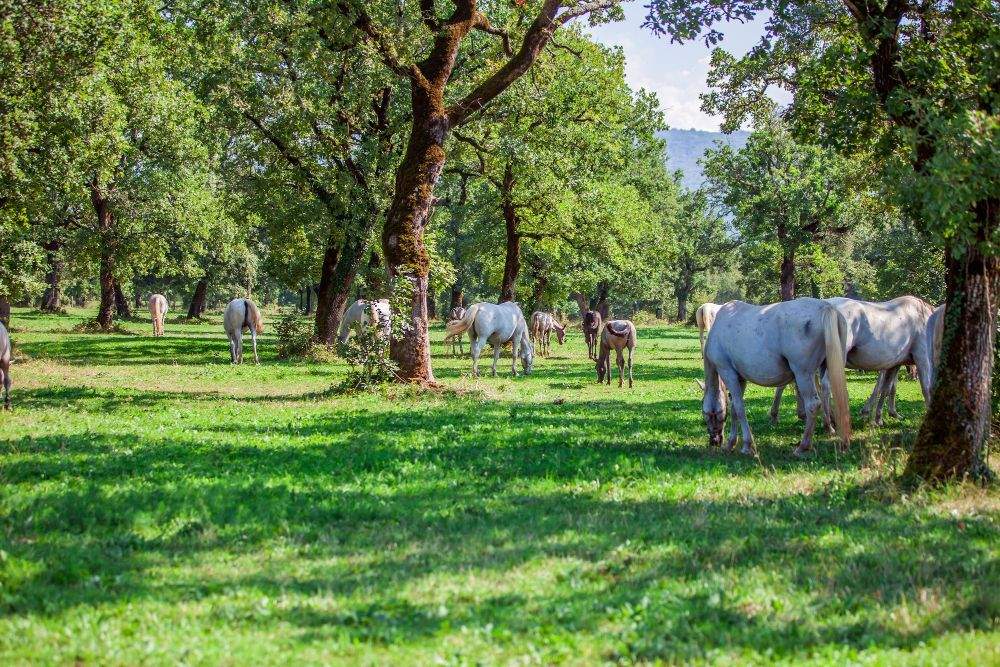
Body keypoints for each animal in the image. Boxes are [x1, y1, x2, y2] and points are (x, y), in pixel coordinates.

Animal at [700, 298, 851, 456]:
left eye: (707, 415)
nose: (714, 441)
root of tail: (826, 308)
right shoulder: (740, 379)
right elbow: (735, 408)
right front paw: (731, 444)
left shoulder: (728, 373)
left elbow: (739, 408)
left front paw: (747, 445)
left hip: (803, 374)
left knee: (813, 405)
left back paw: (803, 446)